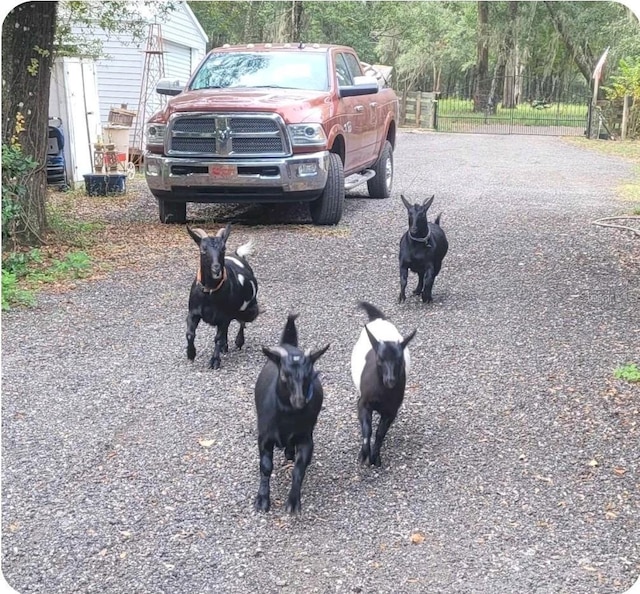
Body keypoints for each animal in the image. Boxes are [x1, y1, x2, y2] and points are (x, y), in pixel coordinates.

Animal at [185, 224, 258, 368]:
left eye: (223, 248)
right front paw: (191, 354)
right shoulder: (193, 312)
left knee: (242, 322)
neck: (210, 292)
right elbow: (190, 334)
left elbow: (217, 338)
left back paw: (238, 341)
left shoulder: (225, 315)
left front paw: (215, 361)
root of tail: (239, 256)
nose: (216, 269)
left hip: (246, 308)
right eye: (203, 250)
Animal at [254, 312, 330, 512]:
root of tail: (289, 344)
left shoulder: (306, 438)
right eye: (284, 374)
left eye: (309, 374)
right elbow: (266, 466)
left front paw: (293, 502)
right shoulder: (264, 437)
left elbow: (299, 469)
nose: (299, 401)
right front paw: (262, 500)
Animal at [350, 302, 416, 464]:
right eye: (380, 359)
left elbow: (380, 433)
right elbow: (367, 429)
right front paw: (364, 454)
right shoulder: (363, 403)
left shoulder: (391, 411)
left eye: (400, 361)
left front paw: (375, 456)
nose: (390, 380)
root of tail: (378, 318)